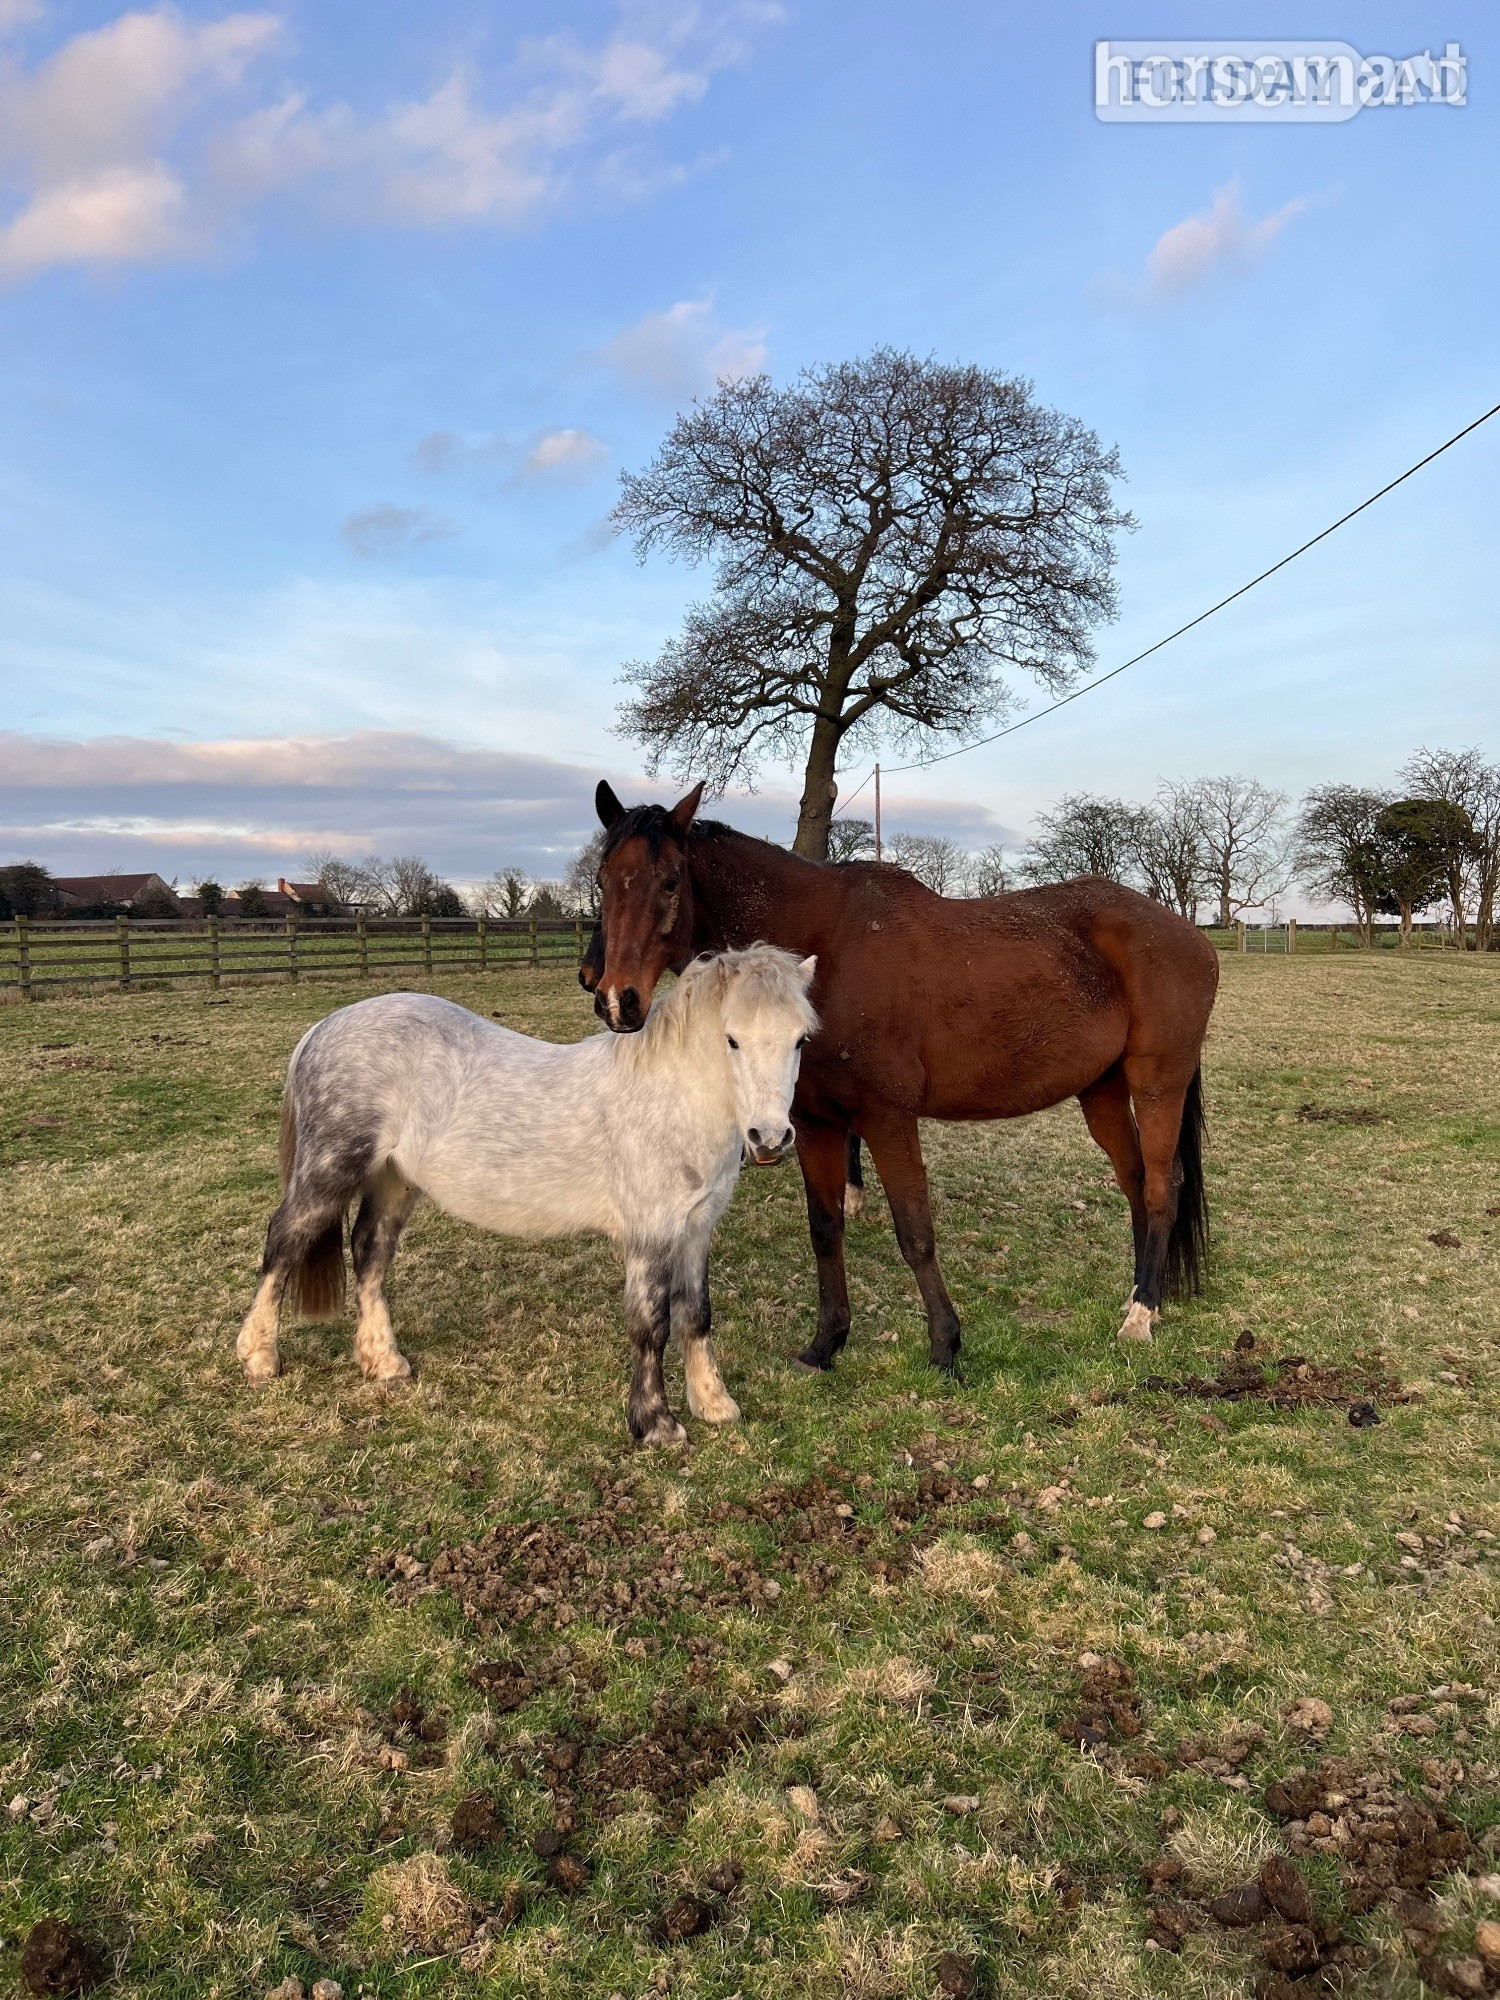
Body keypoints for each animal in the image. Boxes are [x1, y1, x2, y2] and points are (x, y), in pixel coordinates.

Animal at [236, 944, 819, 1445]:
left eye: (800, 1041)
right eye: (732, 1039)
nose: (769, 1138)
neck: (670, 1099)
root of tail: (321, 1030)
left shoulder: (697, 1229)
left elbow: (695, 1314)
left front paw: (714, 1405)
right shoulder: (650, 1233)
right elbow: (651, 1325)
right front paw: (656, 1425)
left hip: (394, 1180)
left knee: (369, 1251)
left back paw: (383, 1362)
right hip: (329, 1170)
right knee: (284, 1243)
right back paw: (259, 1357)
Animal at [580, 782, 1220, 1374]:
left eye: (670, 881)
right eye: (604, 880)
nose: (615, 999)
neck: (824, 952)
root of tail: (1189, 934)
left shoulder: (888, 1120)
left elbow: (915, 1233)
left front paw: (945, 1347)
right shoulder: (813, 1124)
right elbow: (825, 1228)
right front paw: (826, 1343)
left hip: (1157, 1085)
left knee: (1162, 1187)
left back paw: (1142, 1316)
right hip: (1101, 1090)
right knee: (1136, 1183)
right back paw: (1140, 1296)